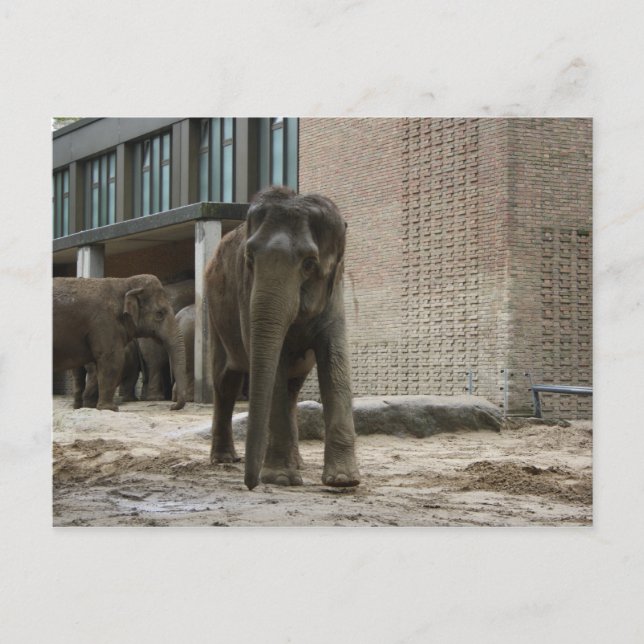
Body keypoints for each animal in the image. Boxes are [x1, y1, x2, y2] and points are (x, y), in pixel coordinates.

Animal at [53, 274, 188, 411]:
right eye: (160, 314)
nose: (172, 406)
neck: (124, 282)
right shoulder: (104, 322)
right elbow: (112, 359)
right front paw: (110, 408)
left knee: (78, 377)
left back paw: (80, 407)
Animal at [205, 186, 361, 490]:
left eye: (310, 264)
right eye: (249, 259)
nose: (250, 484)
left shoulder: (334, 293)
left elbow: (335, 361)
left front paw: (343, 481)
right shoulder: (246, 295)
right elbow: (275, 365)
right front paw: (280, 479)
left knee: (292, 388)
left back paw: (297, 463)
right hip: (215, 316)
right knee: (225, 383)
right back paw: (224, 459)